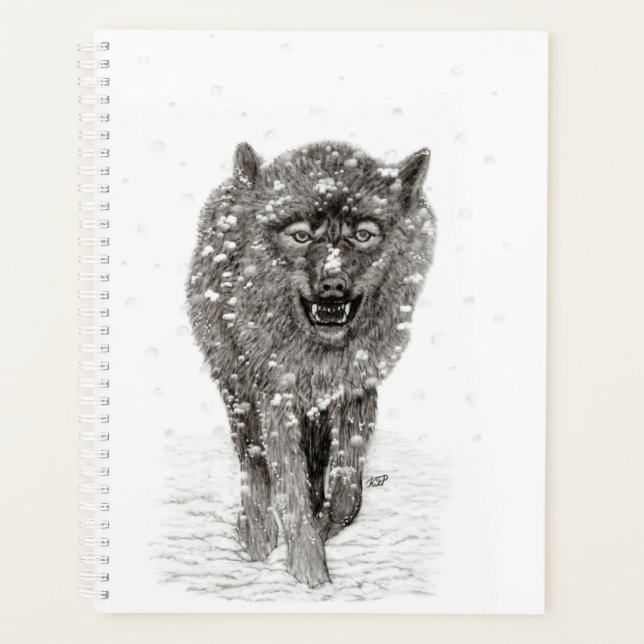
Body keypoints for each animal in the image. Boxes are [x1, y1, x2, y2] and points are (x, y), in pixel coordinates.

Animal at [186, 140, 436, 587]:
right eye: (301, 235)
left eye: (363, 234)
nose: (333, 285)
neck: (321, 356)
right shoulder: (276, 400)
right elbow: (289, 487)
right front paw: (308, 570)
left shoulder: (357, 390)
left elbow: (347, 492)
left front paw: (321, 530)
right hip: (238, 391)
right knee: (252, 464)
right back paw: (256, 534)